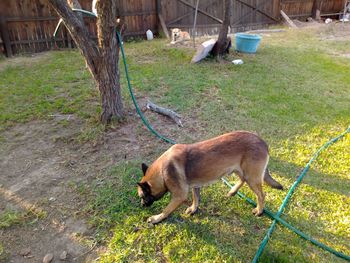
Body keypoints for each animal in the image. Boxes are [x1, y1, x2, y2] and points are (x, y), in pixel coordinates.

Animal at [138, 132, 284, 225]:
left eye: (143, 196)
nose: (142, 206)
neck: (162, 172)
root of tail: (263, 143)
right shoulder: (195, 185)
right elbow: (196, 198)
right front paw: (193, 209)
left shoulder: (179, 196)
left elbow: (166, 210)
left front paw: (156, 218)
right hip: (241, 171)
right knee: (242, 180)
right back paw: (232, 191)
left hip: (252, 177)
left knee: (261, 195)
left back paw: (259, 210)